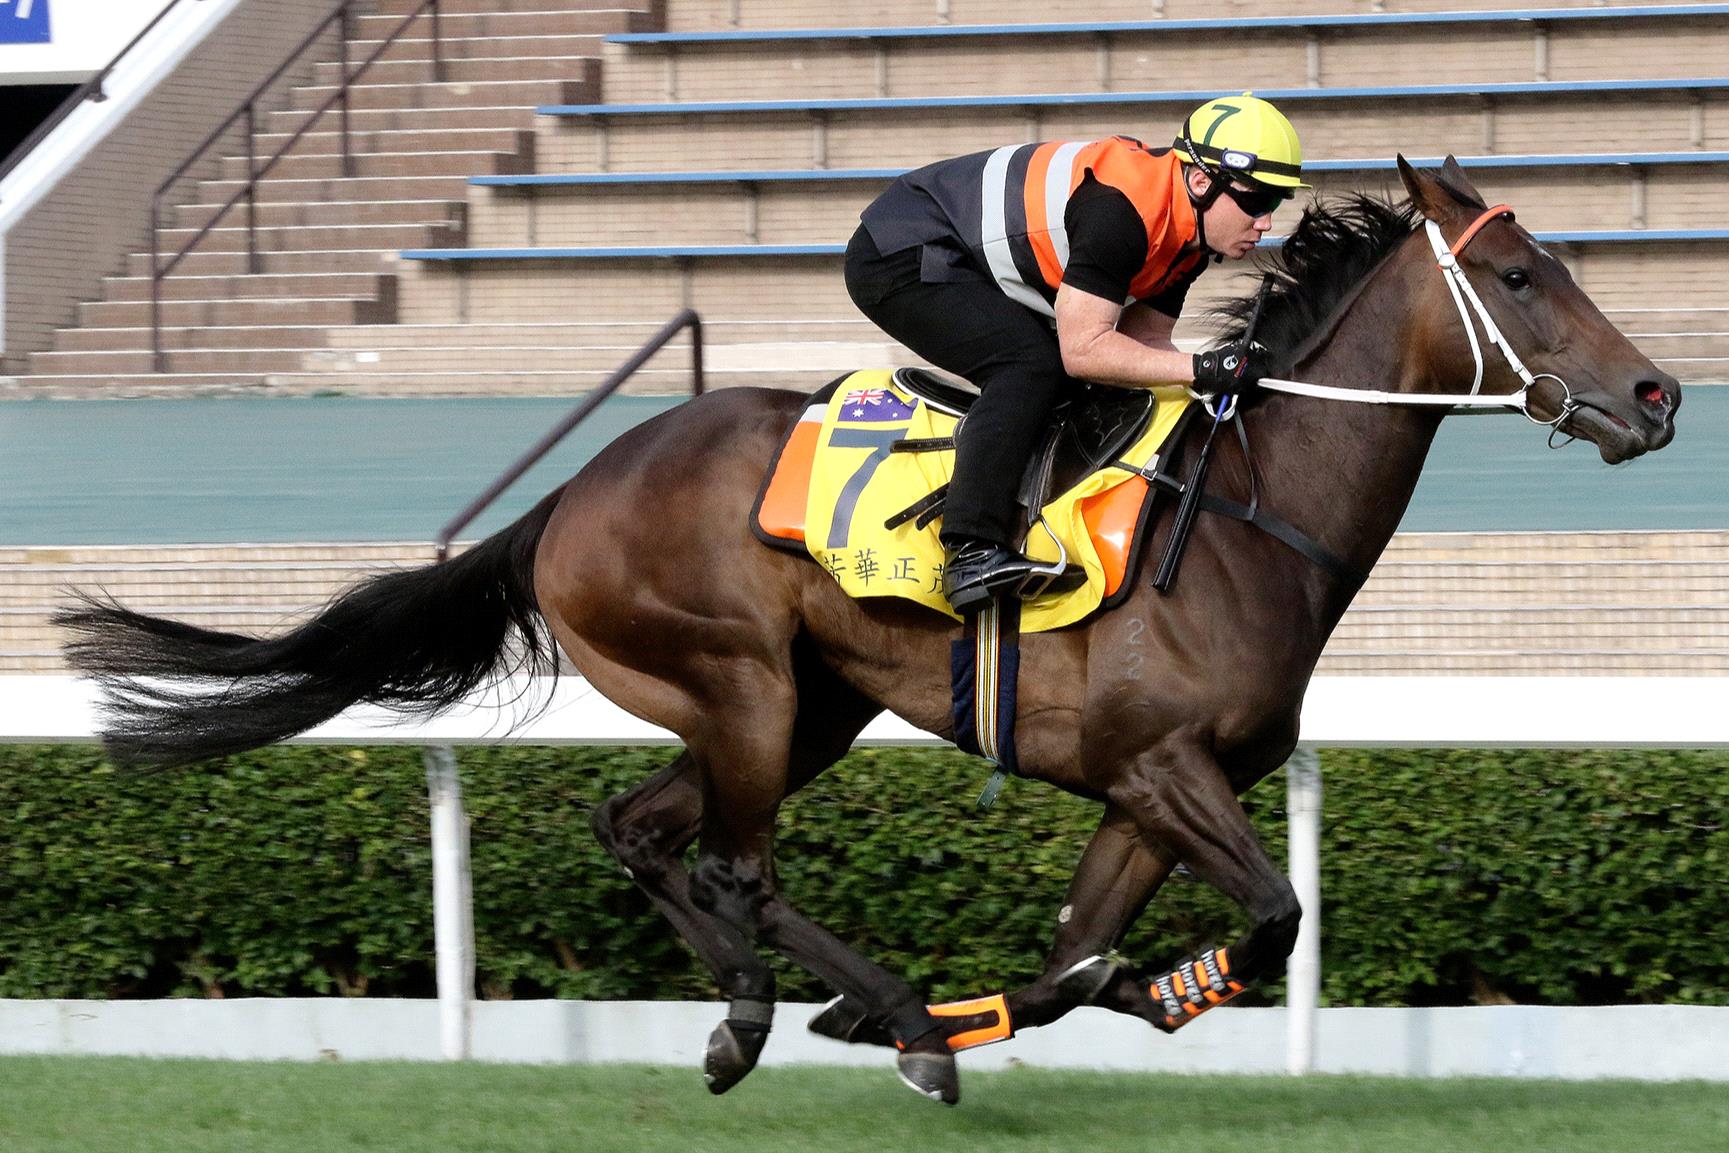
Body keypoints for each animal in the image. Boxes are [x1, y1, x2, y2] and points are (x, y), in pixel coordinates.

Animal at [57, 158, 1673, 1106]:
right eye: (1521, 277)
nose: (1656, 396)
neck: (1234, 517)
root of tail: (573, 489)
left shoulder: (1146, 793)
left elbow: (1081, 955)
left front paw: (1095, 994)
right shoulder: (1163, 769)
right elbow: (1268, 916)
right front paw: (1082, 1002)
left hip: (806, 704)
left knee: (641, 831)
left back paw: (785, 1015)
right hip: (745, 685)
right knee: (731, 862)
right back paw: (854, 1012)